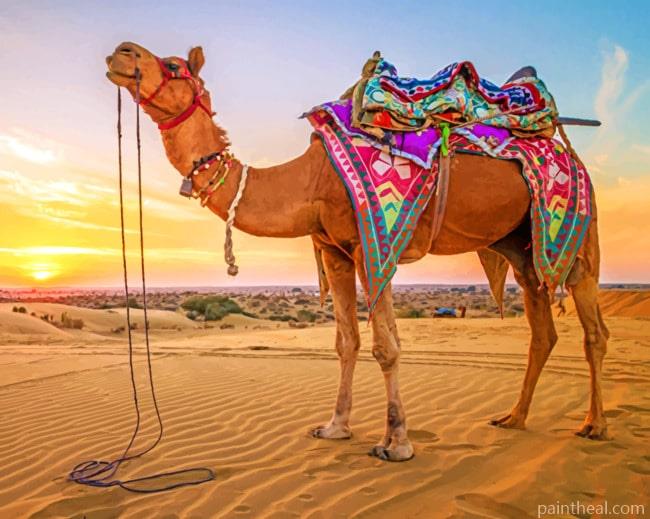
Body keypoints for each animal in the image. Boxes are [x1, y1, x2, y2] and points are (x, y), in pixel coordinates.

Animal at [106, 42, 610, 461]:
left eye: (173, 65)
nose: (121, 52)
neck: (308, 181)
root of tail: (567, 151)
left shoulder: (374, 246)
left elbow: (386, 345)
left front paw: (396, 442)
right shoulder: (335, 252)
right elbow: (345, 341)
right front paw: (335, 427)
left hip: (580, 231)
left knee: (592, 328)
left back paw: (594, 425)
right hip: (520, 247)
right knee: (541, 327)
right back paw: (514, 417)